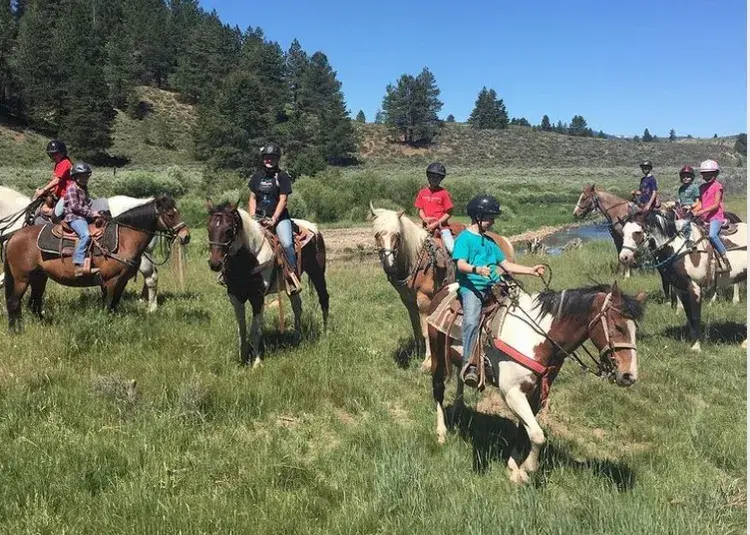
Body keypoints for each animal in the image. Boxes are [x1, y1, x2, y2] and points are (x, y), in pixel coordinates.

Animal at [3, 195, 190, 332]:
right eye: (170, 214)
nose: (186, 236)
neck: (124, 239)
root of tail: (13, 236)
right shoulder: (110, 280)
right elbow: (108, 304)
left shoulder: (122, 280)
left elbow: (115, 305)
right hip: (22, 278)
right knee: (14, 301)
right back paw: (15, 330)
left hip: (39, 277)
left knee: (34, 303)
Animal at [206, 200, 329, 367]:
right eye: (209, 228)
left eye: (228, 230)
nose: (214, 263)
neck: (247, 259)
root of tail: (314, 228)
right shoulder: (235, 297)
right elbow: (242, 329)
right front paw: (243, 358)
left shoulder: (257, 297)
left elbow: (256, 330)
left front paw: (257, 362)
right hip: (291, 285)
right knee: (297, 305)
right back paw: (297, 335)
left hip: (317, 272)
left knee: (324, 298)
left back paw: (326, 332)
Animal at [369, 203, 514, 372]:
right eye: (377, 235)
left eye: (397, 235)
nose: (389, 265)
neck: (417, 258)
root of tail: (504, 240)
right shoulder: (408, 300)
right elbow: (416, 328)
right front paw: (417, 353)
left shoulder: (424, 300)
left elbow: (425, 331)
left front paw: (427, 362)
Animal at [428, 282, 645, 484]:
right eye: (618, 327)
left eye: (636, 330)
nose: (629, 375)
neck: (538, 338)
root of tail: (446, 288)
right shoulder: (512, 393)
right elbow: (538, 435)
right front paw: (528, 469)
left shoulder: (535, 393)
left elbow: (525, 431)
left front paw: (514, 467)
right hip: (437, 354)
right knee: (438, 389)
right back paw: (441, 433)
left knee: (460, 378)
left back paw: (458, 409)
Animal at [619, 212, 747, 351]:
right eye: (623, 231)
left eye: (637, 232)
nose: (624, 257)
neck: (682, 249)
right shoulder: (681, 288)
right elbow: (689, 315)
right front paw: (694, 341)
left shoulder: (694, 287)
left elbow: (695, 316)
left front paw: (696, 347)